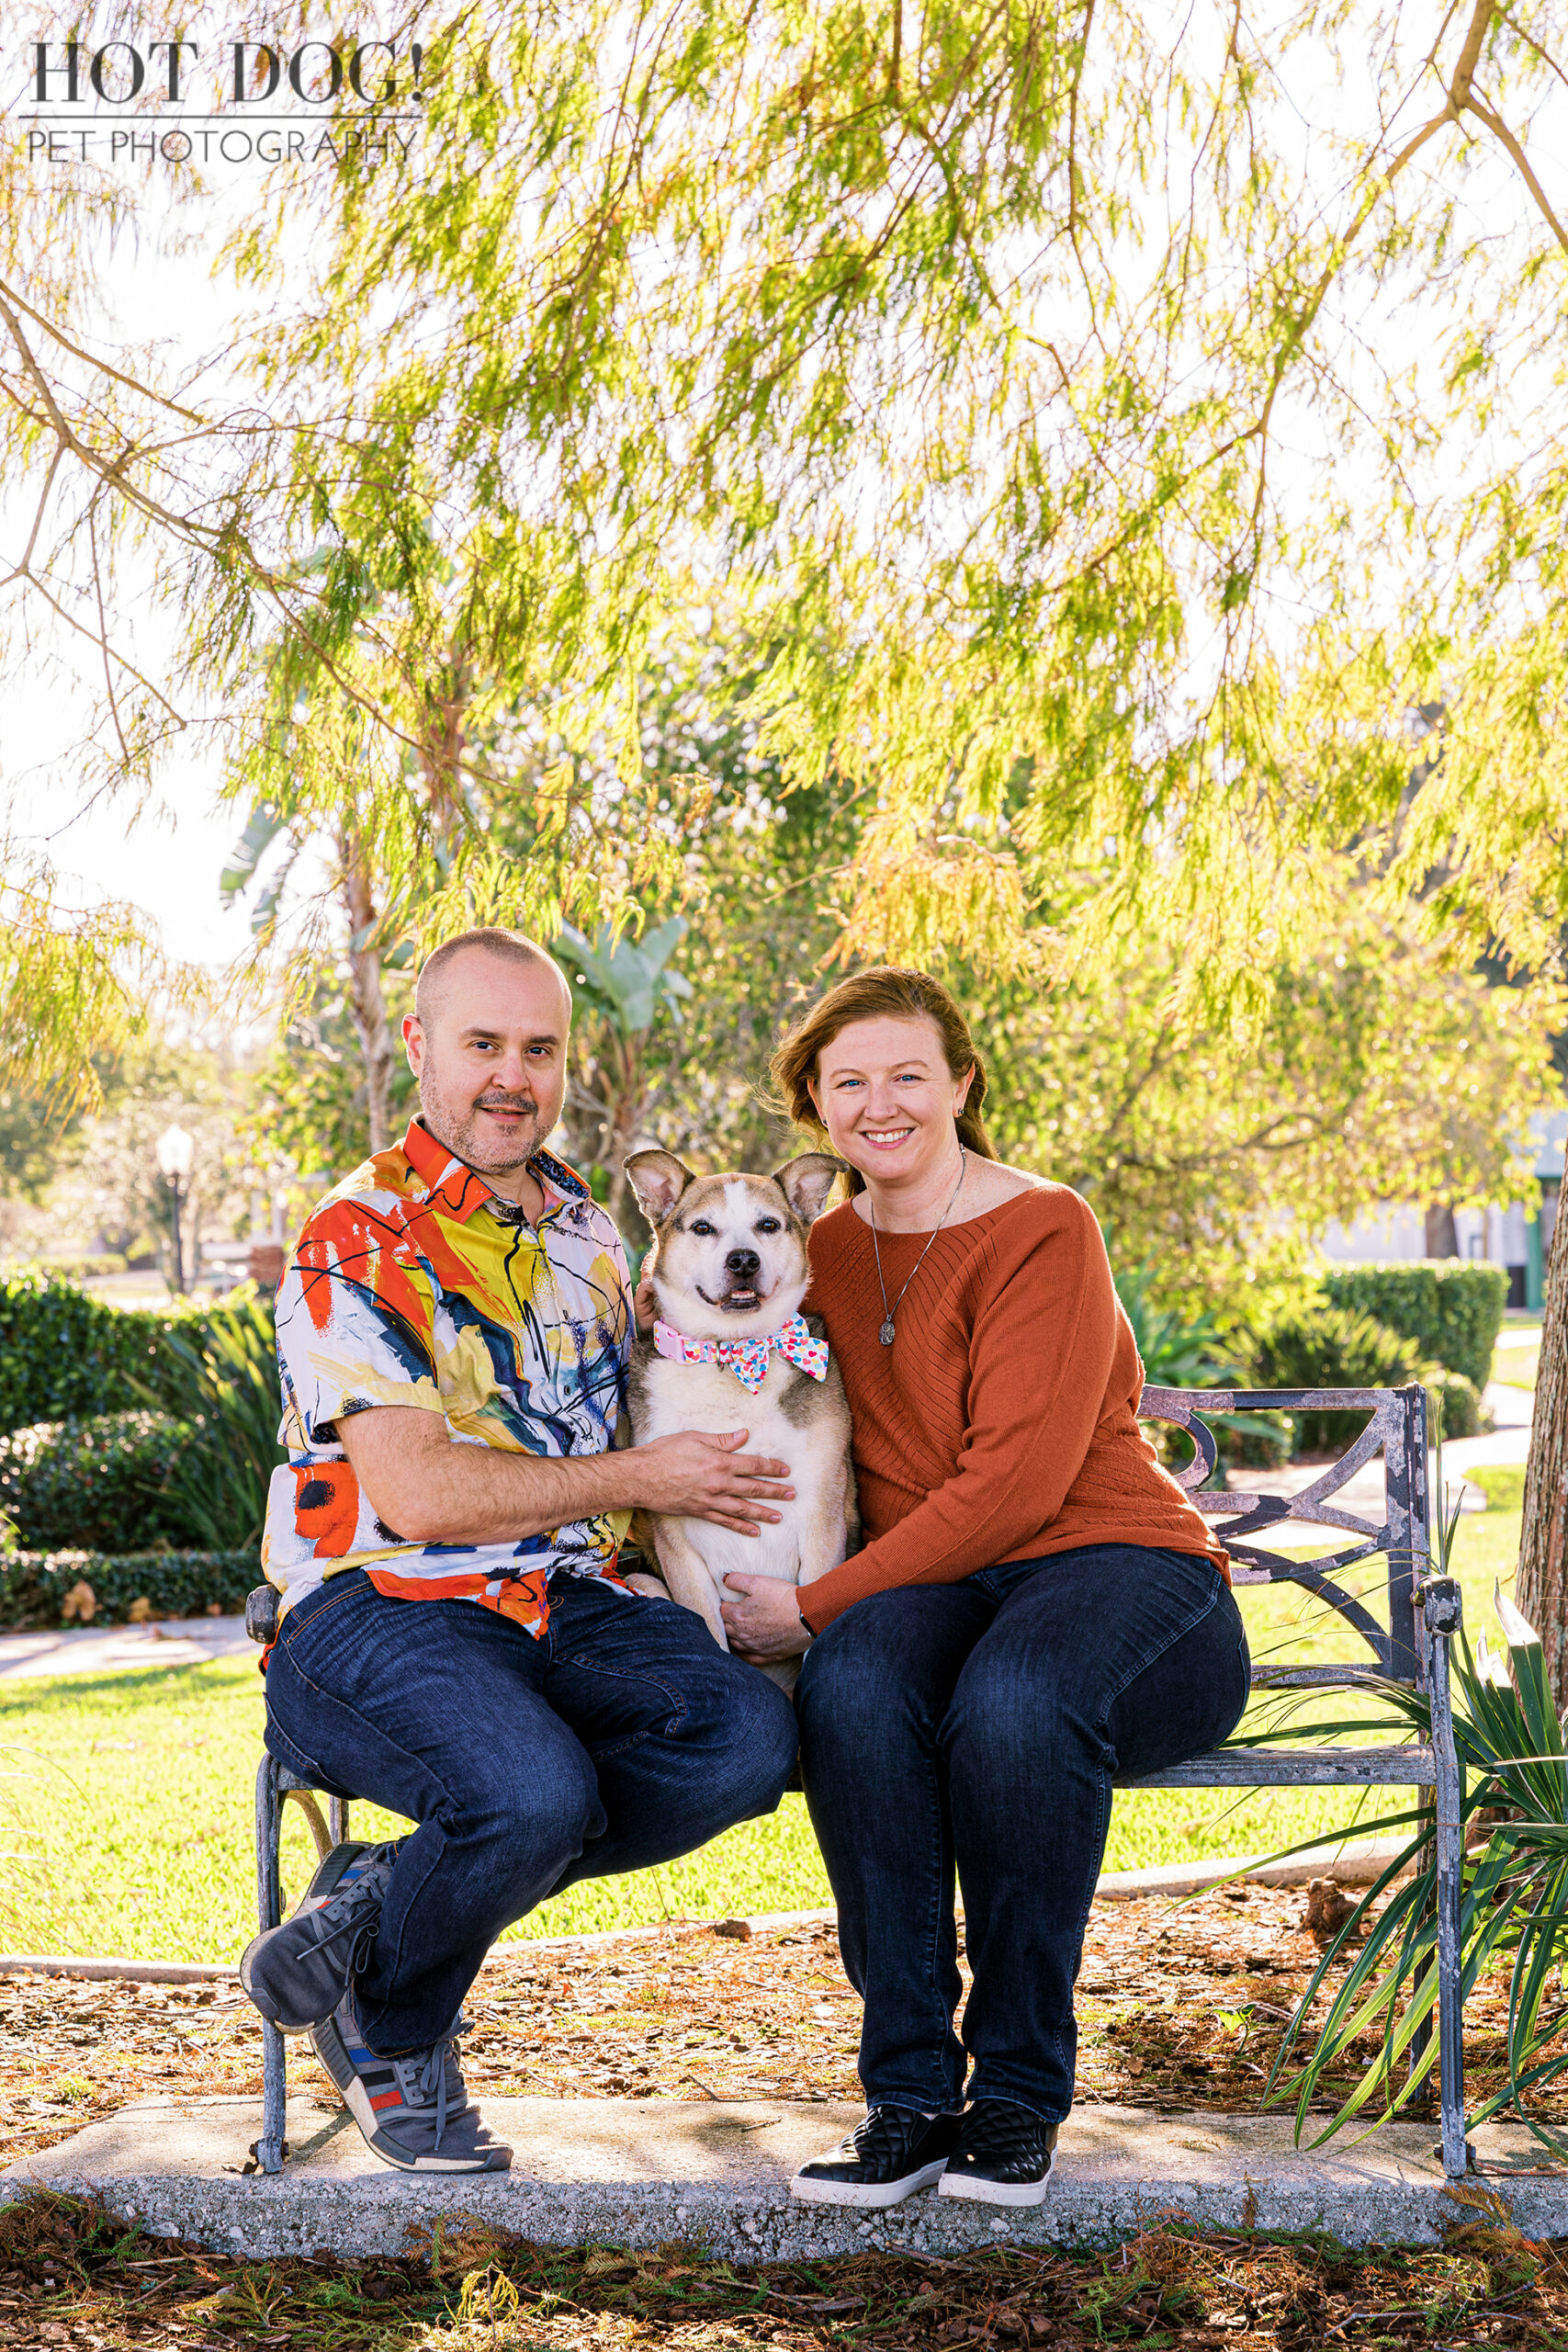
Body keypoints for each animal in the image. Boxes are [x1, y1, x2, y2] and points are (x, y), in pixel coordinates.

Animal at [620, 1143, 860, 1683]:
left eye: (768, 1225)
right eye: (702, 1228)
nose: (744, 1261)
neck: (732, 1356)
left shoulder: (823, 1524)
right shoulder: (677, 1545)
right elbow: (708, 1631)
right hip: (645, 1582)